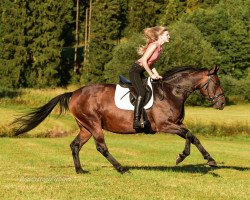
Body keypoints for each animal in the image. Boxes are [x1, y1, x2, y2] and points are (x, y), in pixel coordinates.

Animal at [13, 65, 227, 173]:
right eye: (216, 83)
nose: (222, 103)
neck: (172, 92)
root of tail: (74, 93)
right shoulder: (165, 125)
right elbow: (190, 135)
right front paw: (196, 158)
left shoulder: (176, 124)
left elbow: (191, 136)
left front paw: (194, 157)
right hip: (94, 124)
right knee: (101, 147)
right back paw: (121, 168)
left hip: (85, 127)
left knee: (75, 145)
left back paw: (80, 170)